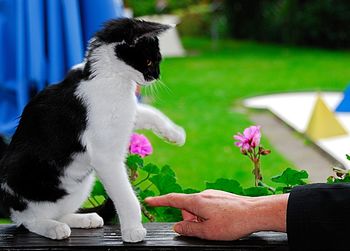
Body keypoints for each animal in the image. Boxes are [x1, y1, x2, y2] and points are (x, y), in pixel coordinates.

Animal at [0, 18, 186, 243]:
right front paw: (133, 230)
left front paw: (175, 134)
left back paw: (83, 219)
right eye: (150, 61)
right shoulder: (105, 157)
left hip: (82, 183)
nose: (156, 76)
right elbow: (126, 195)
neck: (111, 78)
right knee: (27, 220)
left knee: (58, 212)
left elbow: (149, 112)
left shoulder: (125, 114)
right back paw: (53, 228)